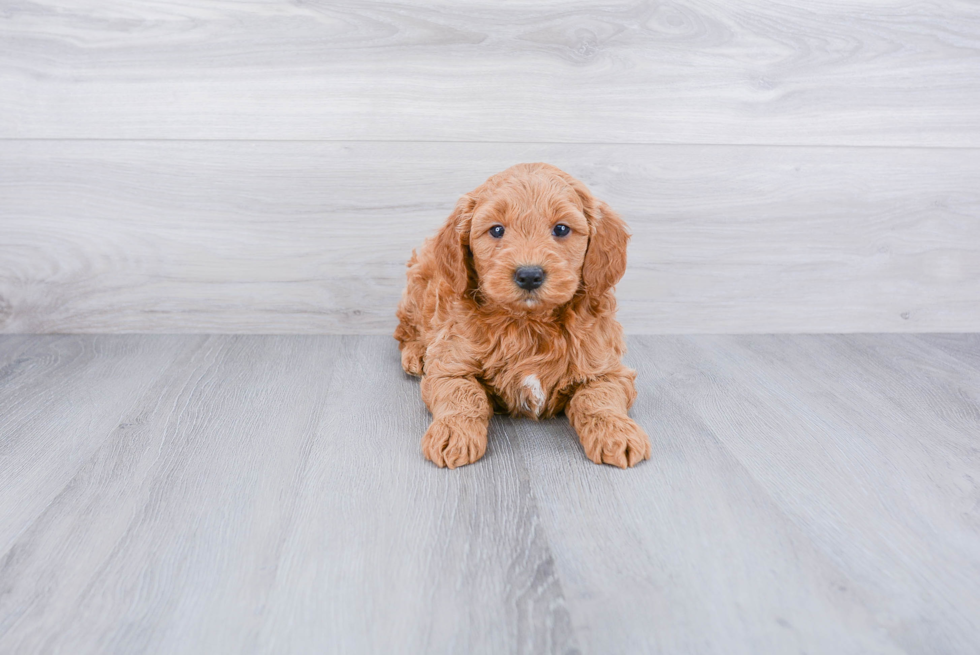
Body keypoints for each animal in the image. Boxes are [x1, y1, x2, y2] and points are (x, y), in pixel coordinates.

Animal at [390, 164, 652, 472]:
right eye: (496, 230)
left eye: (561, 229)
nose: (529, 275)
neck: (529, 323)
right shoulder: (451, 363)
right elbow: (462, 394)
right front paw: (453, 432)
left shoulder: (608, 369)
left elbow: (599, 397)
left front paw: (617, 431)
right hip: (417, 287)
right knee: (405, 329)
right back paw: (417, 353)